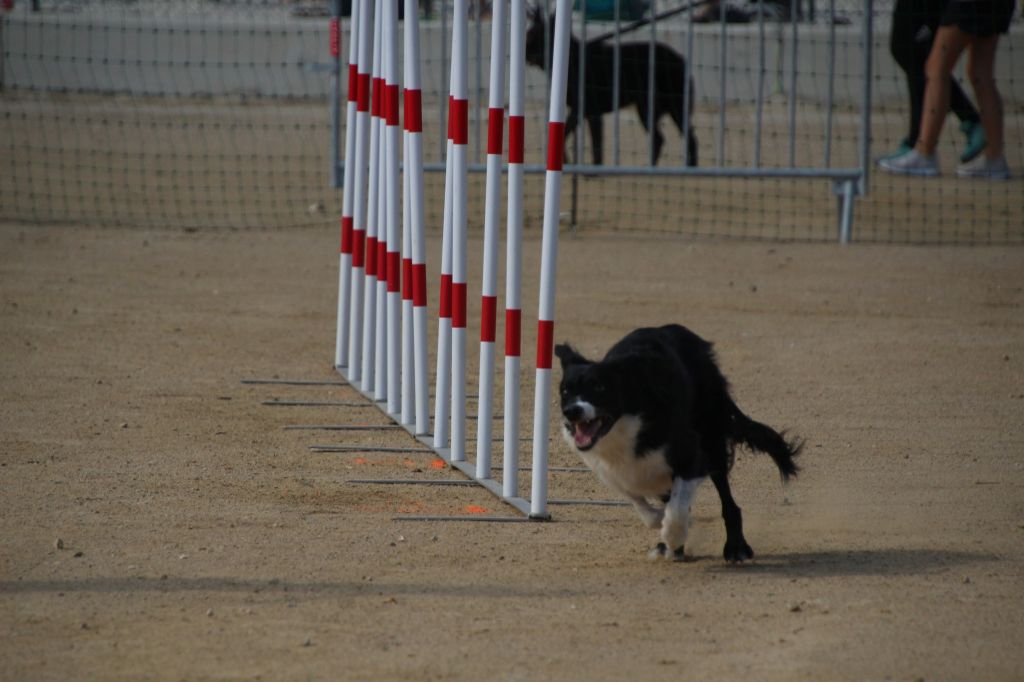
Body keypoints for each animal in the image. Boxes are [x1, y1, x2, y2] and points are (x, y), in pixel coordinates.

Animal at [557, 323, 802, 557]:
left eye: (599, 387)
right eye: (565, 391)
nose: (571, 412)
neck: (627, 426)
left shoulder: (692, 456)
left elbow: (676, 508)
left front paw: (673, 536)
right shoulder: (617, 472)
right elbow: (642, 504)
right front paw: (666, 530)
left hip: (711, 437)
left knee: (728, 503)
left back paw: (736, 548)